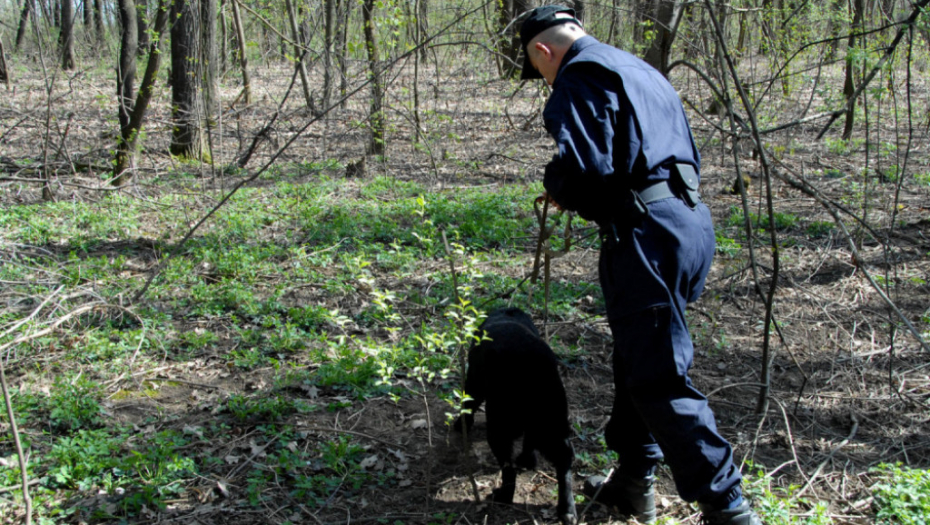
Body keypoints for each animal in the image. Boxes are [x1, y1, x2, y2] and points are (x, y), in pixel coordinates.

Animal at [454, 308, 576, 524]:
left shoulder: (474, 381)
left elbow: (468, 403)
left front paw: (461, 424)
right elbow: (529, 443)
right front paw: (528, 460)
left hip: (499, 425)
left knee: (508, 468)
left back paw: (504, 496)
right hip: (552, 423)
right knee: (564, 459)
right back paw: (567, 508)